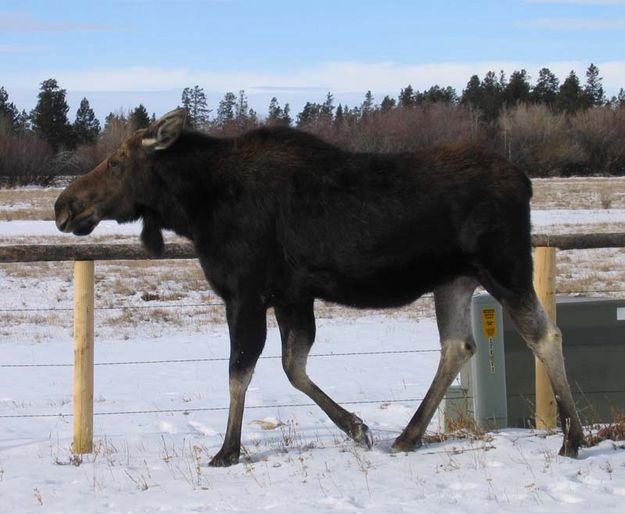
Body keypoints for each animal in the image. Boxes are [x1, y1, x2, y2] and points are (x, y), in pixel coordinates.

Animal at [54, 108, 584, 464]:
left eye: (117, 162)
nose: (64, 205)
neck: (195, 209)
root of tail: (525, 181)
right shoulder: (292, 296)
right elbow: (294, 368)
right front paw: (356, 427)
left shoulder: (246, 293)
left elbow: (239, 372)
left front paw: (228, 449)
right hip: (452, 279)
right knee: (458, 345)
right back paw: (408, 435)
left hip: (504, 266)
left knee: (546, 335)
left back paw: (572, 438)